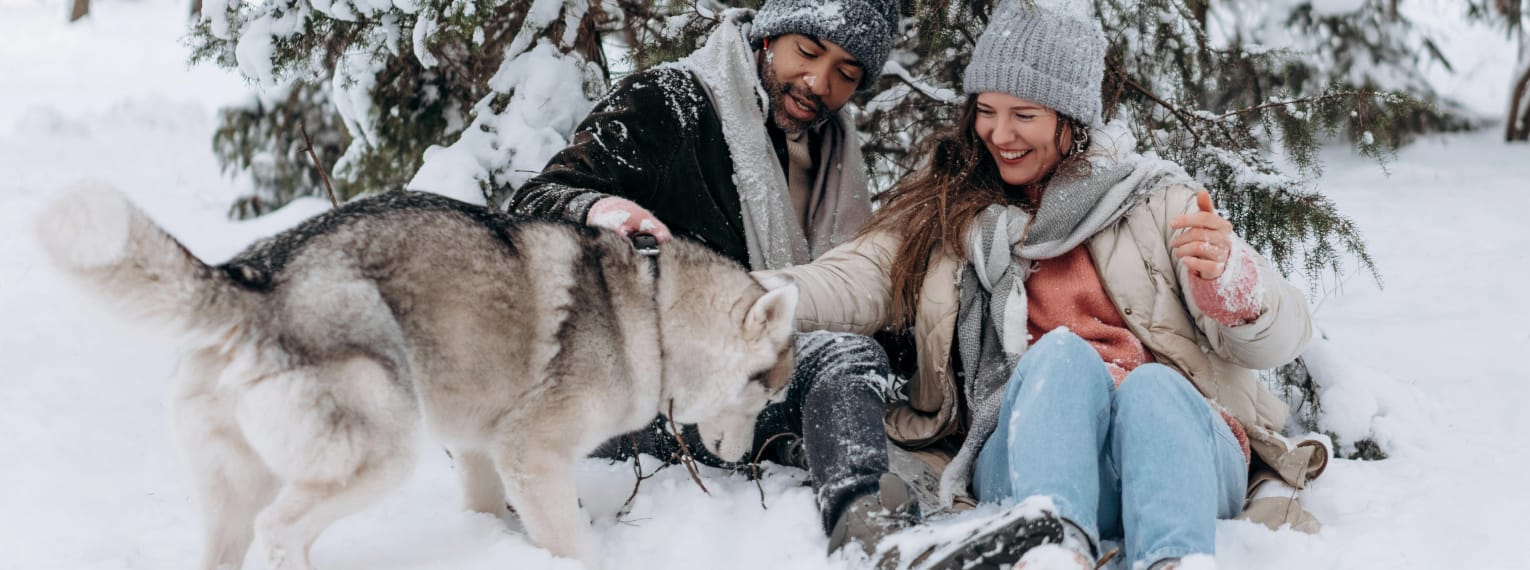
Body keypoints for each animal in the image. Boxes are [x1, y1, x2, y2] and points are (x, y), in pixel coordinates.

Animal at [35, 184, 801, 565]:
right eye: (768, 390)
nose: (747, 459)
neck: (652, 311)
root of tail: (252, 278)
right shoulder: (532, 454)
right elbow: (573, 546)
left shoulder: (480, 450)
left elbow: (484, 508)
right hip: (382, 454)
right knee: (284, 530)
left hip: (235, 493)